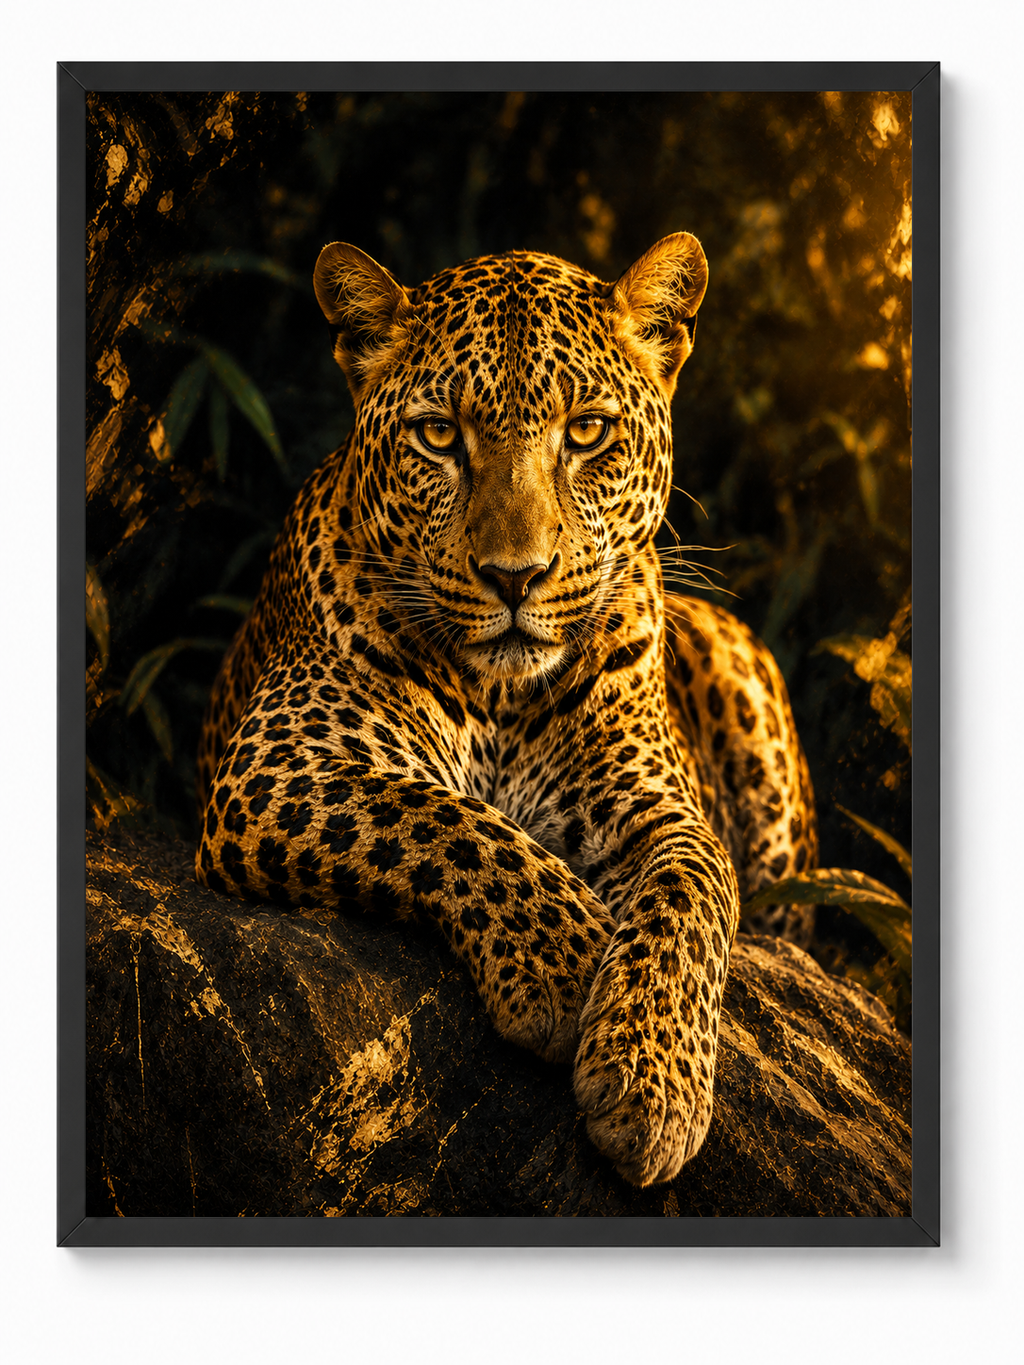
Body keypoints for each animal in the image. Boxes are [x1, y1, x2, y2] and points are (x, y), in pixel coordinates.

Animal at [194, 232, 817, 1187]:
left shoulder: (662, 811)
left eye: (587, 431)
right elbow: (443, 816)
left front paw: (651, 1086)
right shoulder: (276, 762)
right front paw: (568, 962)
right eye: (439, 435)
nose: (515, 577)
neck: (500, 697)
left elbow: (692, 897)